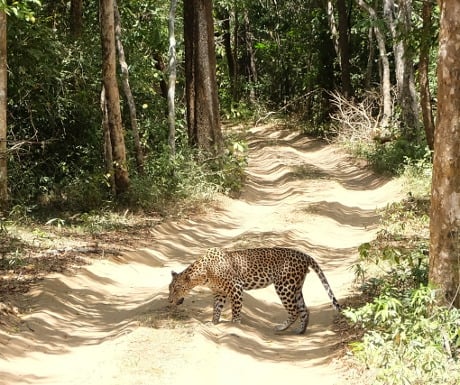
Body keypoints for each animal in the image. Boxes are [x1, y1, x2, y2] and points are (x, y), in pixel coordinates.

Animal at [169, 246, 342, 332]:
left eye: (176, 289)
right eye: (170, 289)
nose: (170, 300)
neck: (203, 274)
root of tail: (304, 255)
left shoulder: (236, 287)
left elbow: (236, 309)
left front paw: (235, 325)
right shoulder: (219, 292)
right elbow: (216, 309)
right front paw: (213, 323)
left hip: (284, 286)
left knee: (294, 310)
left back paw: (281, 327)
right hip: (296, 287)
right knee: (304, 309)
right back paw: (300, 331)